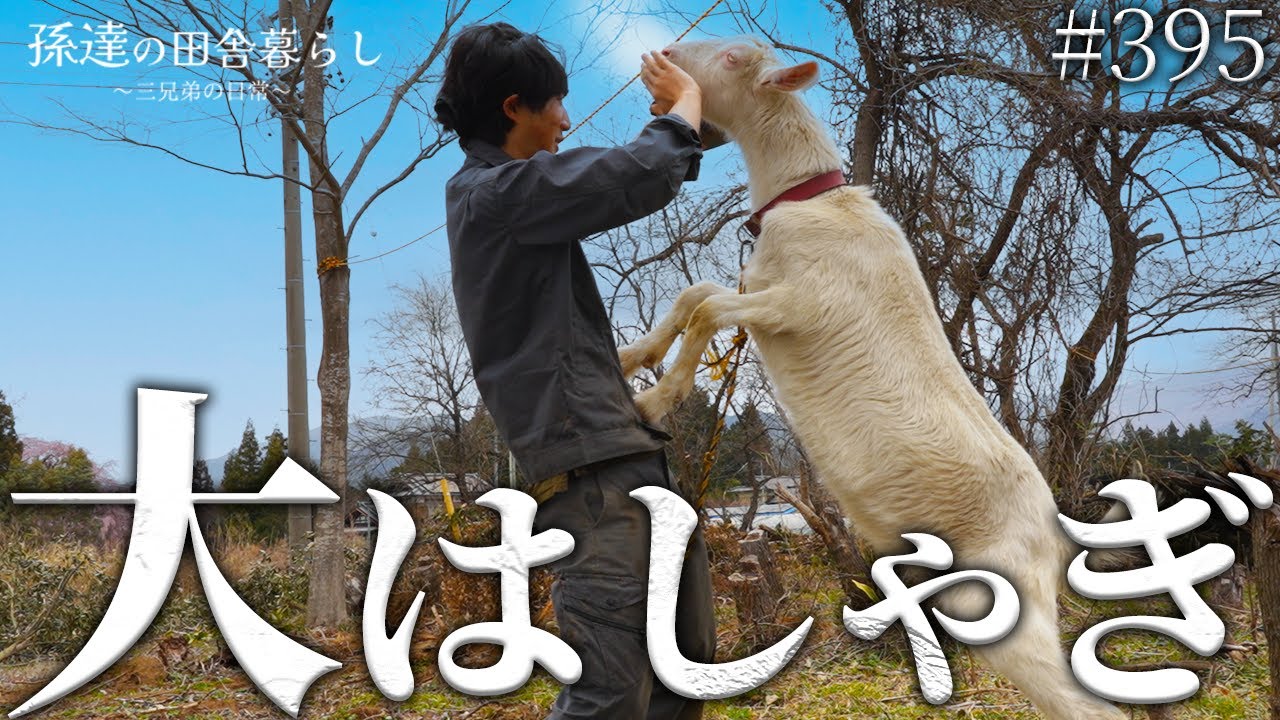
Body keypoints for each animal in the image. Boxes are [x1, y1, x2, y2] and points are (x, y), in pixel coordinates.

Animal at [618, 36, 1128, 720]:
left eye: (730, 60)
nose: (664, 54)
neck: (808, 204)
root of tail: (1057, 536)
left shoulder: (798, 307)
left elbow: (707, 309)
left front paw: (653, 402)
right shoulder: (764, 290)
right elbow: (695, 295)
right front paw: (632, 359)